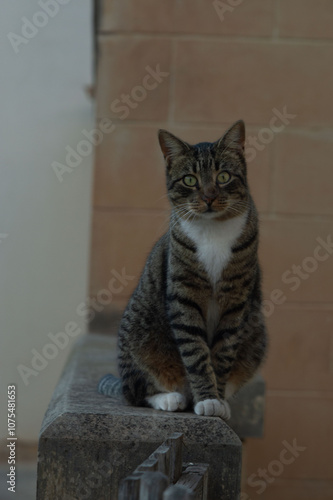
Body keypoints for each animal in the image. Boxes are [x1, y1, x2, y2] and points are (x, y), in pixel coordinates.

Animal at [98, 120, 268, 418]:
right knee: (135, 392)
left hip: (257, 334)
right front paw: (208, 398)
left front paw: (215, 399)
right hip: (138, 337)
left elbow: (222, 353)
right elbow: (196, 353)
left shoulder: (236, 301)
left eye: (223, 176)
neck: (213, 231)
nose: (209, 197)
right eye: (190, 180)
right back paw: (170, 398)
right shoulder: (184, 295)